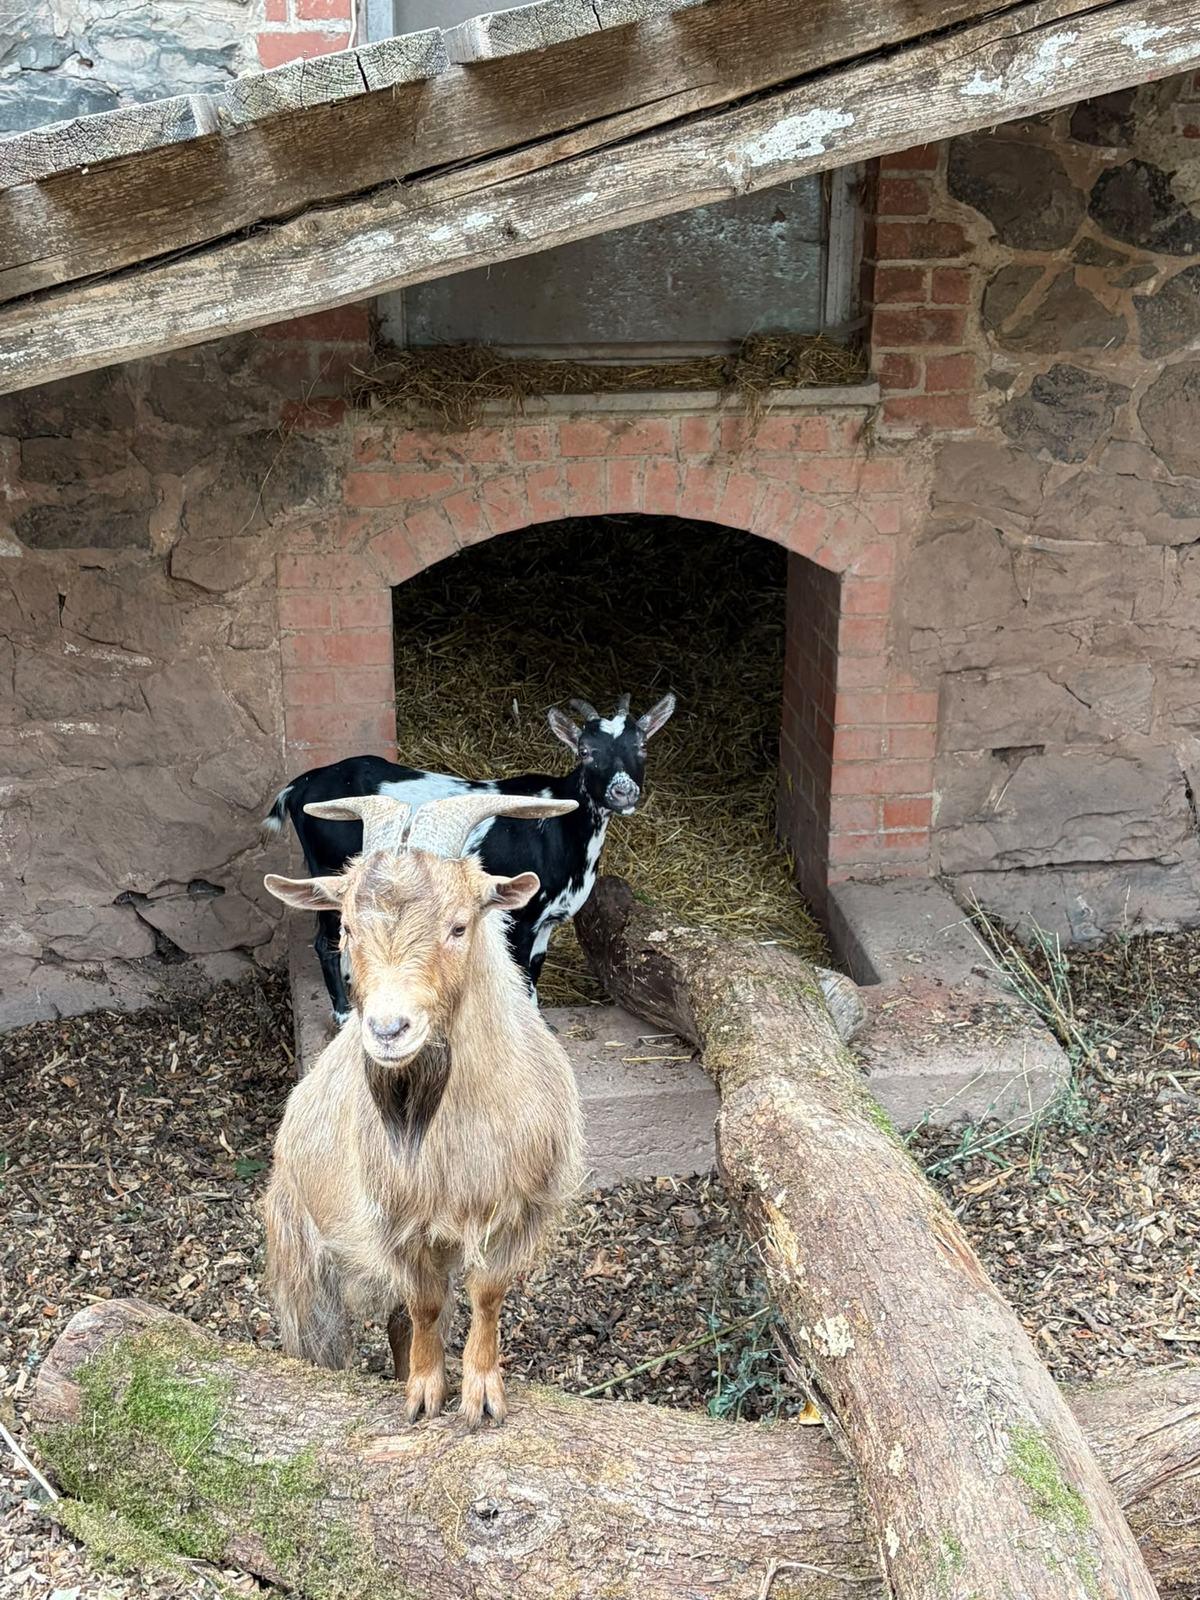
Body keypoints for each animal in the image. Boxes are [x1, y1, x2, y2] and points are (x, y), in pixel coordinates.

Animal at [262, 692, 676, 1021]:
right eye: (586, 752)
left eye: (642, 746)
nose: (623, 793)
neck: (564, 827)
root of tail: (302, 785)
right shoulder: (520, 918)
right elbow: (520, 982)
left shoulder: (547, 922)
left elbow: (534, 978)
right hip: (331, 870)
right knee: (325, 943)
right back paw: (343, 1013)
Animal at [262, 790, 584, 1427]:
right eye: (347, 927)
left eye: (459, 925)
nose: (388, 1030)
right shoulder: (399, 1228)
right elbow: (427, 1306)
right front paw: (423, 1395)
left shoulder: (518, 1211)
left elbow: (485, 1295)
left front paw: (481, 1395)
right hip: (301, 1259)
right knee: (323, 1339)